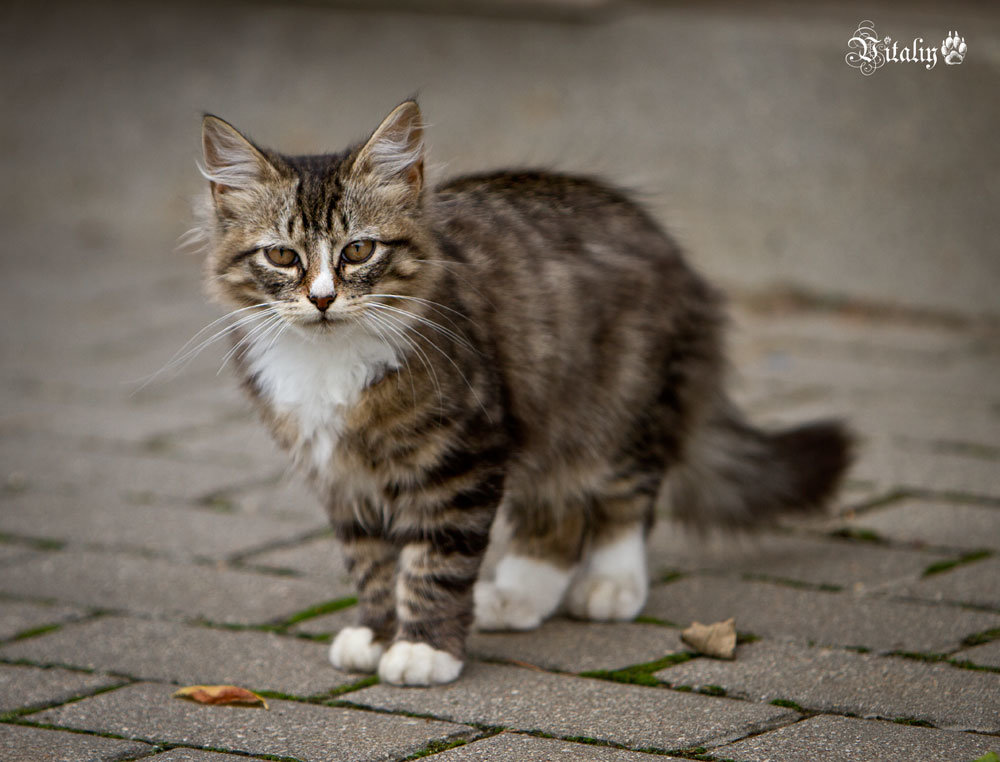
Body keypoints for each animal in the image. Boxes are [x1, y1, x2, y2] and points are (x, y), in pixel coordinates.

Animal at [197, 98, 852, 684]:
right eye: (283, 256)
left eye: (358, 250)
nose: (323, 299)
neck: (328, 360)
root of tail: (679, 261)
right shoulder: (341, 477)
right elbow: (371, 564)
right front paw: (378, 633)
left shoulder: (463, 453)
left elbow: (435, 560)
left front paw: (424, 650)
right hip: (546, 428)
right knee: (556, 517)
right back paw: (517, 596)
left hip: (615, 411)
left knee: (625, 500)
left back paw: (611, 584)